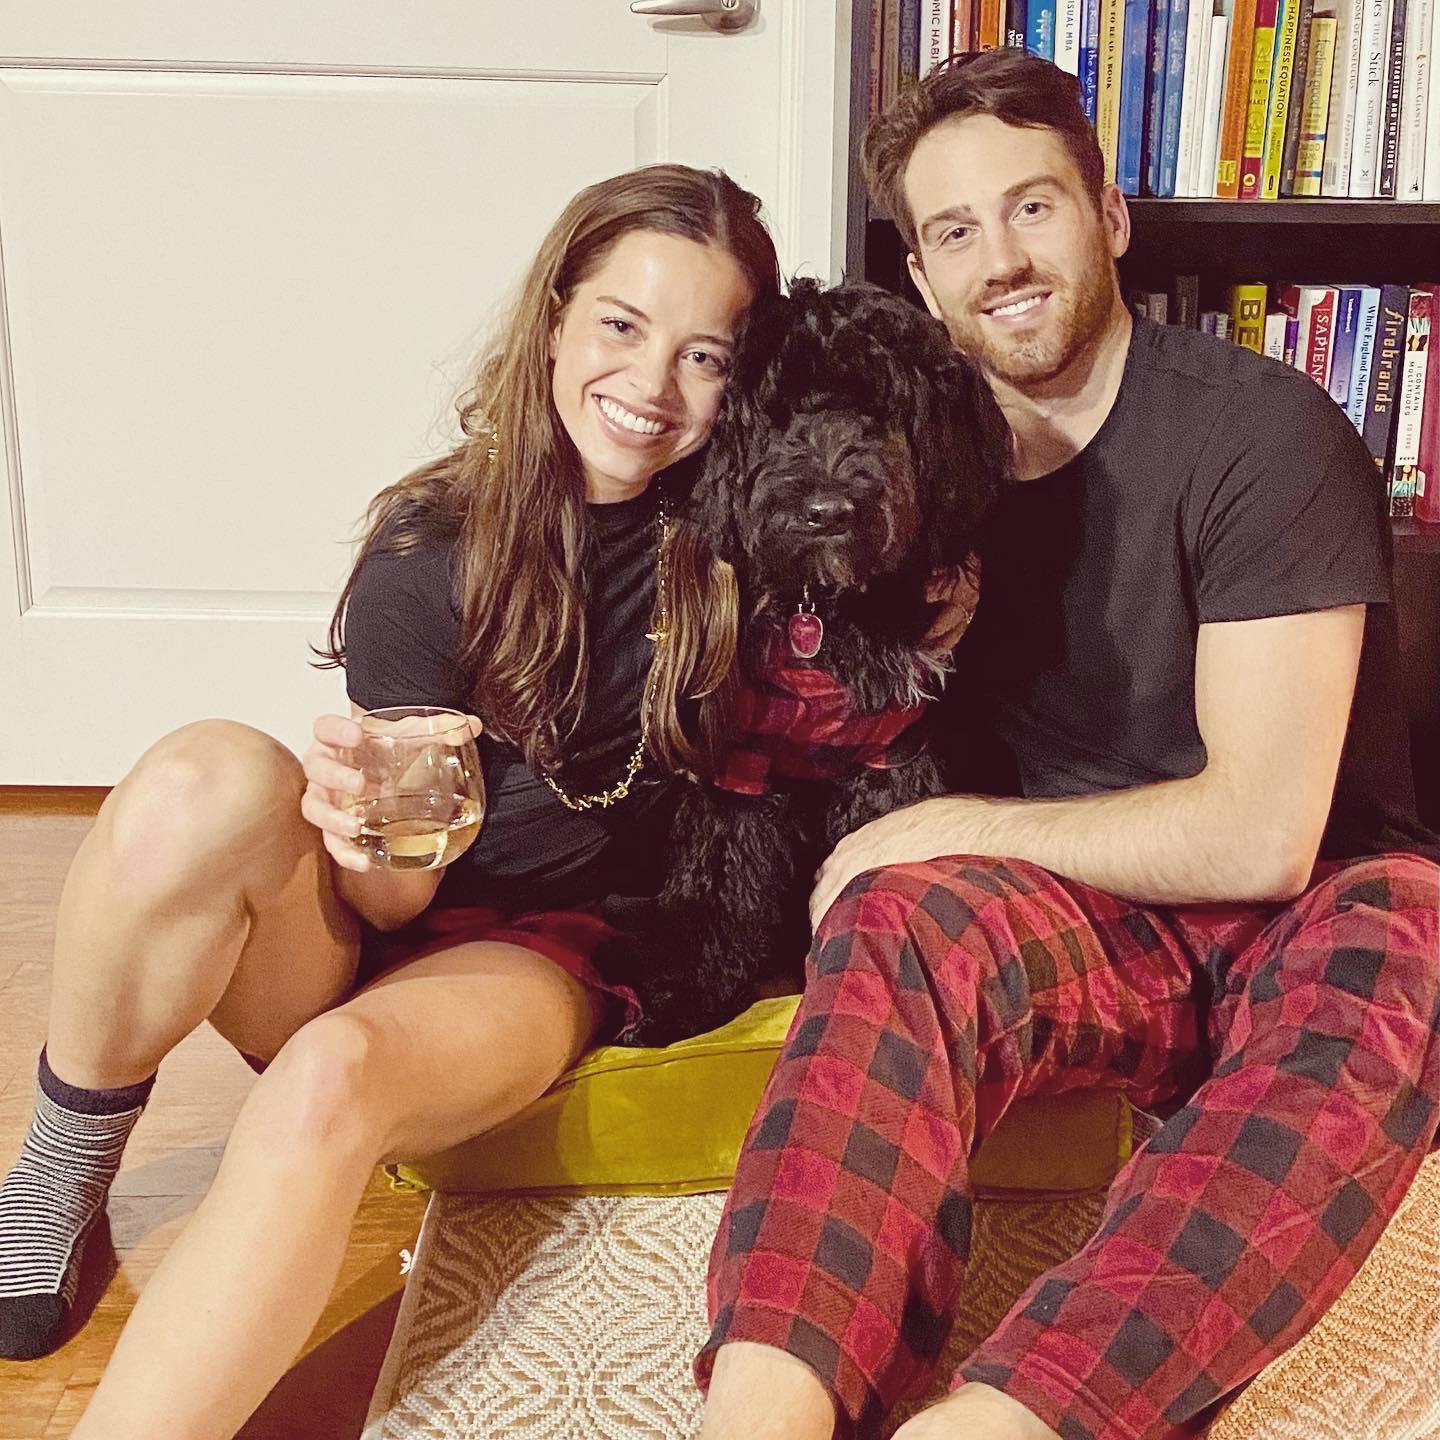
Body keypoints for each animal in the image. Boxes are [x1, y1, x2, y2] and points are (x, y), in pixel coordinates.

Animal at [600, 279, 1012, 1046]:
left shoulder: (893, 756)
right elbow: (721, 887)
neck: (822, 610)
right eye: (780, 414)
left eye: (879, 411)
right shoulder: (741, 764)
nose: (828, 510)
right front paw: (689, 999)